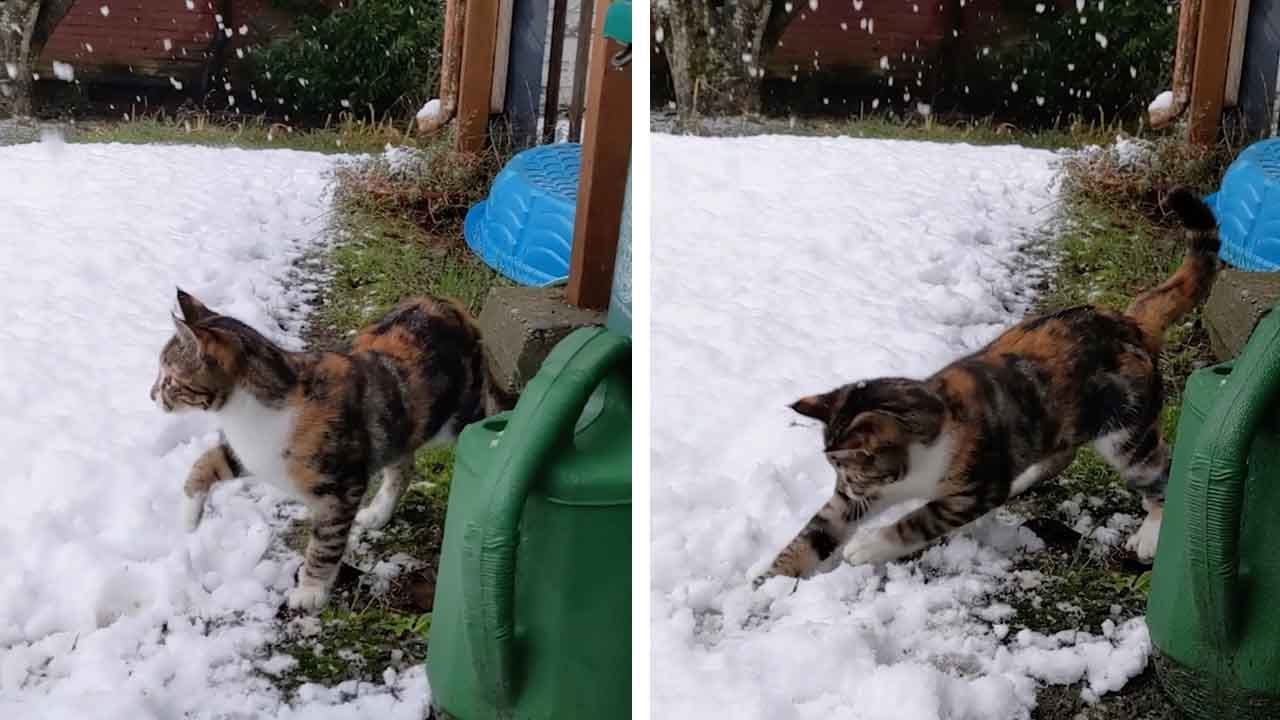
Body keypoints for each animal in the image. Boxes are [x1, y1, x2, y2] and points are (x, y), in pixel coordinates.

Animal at [152, 288, 506, 607]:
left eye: (170, 380)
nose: (152, 394)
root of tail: (449, 304)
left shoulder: (342, 488)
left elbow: (326, 542)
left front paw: (311, 590)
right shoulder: (254, 452)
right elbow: (209, 460)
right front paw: (189, 515)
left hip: (460, 410)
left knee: (483, 423)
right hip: (400, 424)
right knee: (403, 466)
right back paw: (379, 512)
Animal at [757, 185, 1218, 584]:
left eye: (851, 471)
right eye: (841, 479)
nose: (848, 489)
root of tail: (1131, 322)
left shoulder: (974, 488)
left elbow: (918, 520)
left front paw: (867, 547)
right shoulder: (854, 504)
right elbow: (816, 531)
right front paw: (766, 583)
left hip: (1126, 431)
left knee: (1158, 470)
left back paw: (1151, 532)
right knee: (1062, 453)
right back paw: (1025, 479)